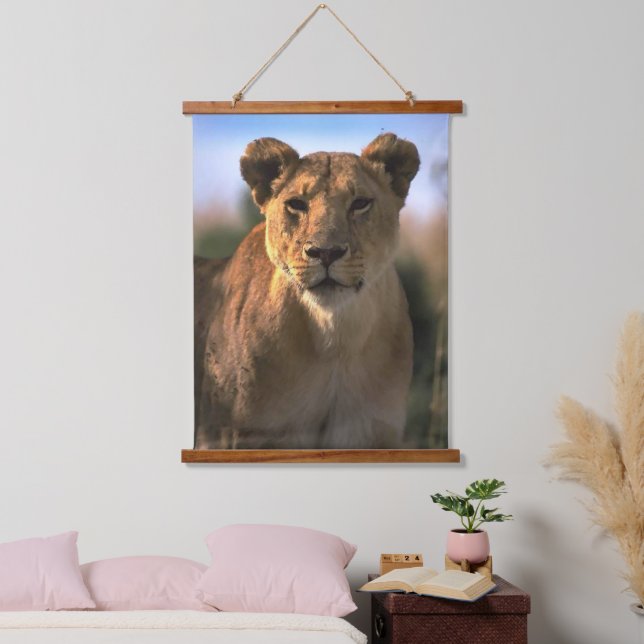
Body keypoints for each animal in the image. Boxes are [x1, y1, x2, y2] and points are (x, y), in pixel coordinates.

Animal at [194, 132, 420, 449]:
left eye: (360, 203)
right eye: (297, 204)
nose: (326, 252)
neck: (336, 338)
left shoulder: (375, 433)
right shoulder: (240, 435)